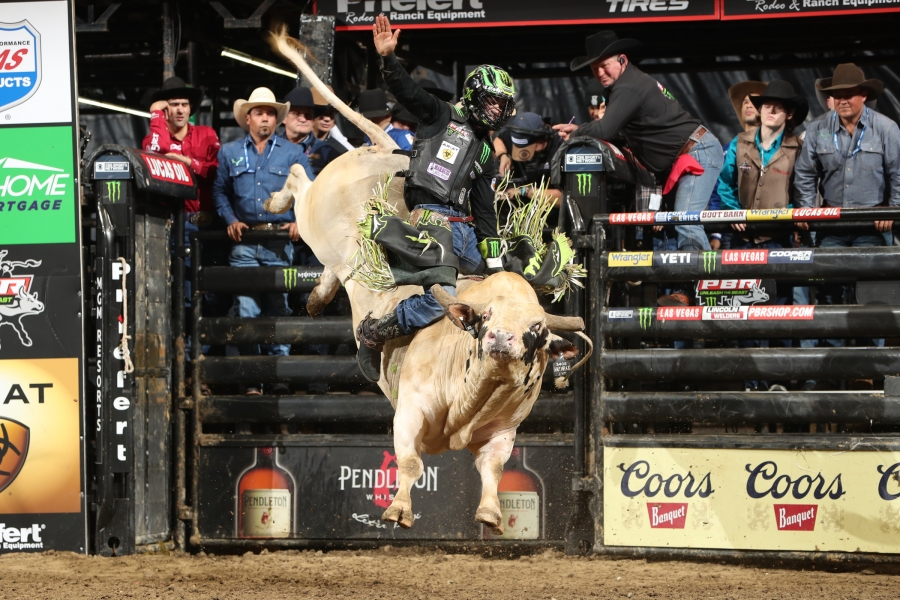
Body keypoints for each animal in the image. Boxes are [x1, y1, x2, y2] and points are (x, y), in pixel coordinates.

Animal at [264, 29, 596, 536]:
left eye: (537, 330)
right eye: (484, 319)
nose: (501, 340)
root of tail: (384, 146)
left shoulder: (504, 431)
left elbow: (494, 468)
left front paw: (491, 515)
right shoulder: (409, 411)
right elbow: (409, 462)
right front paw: (398, 510)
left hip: (336, 252)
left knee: (333, 269)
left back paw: (318, 299)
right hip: (316, 216)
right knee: (300, 180)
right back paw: (275, 200)